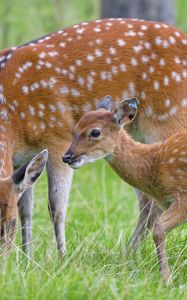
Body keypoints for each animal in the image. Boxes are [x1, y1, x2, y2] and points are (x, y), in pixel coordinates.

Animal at [0, 17, 186, 255]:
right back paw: (130, 254)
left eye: (10, 222)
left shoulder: (57, 137)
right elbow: (27, 208)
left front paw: (62, 257)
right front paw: (27, 256)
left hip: (170, 119)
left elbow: (55, 207)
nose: (4, 259)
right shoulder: (22, 159)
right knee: (146, 196)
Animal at [63, 96, 187, 282]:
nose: (67, 156)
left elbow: (158, 229)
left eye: (95, 132)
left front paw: (166, 278)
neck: (156, 165)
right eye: (74, 129)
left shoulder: (183, 196)